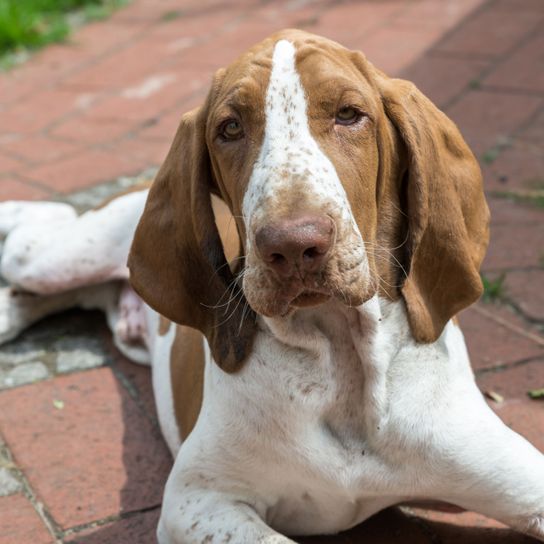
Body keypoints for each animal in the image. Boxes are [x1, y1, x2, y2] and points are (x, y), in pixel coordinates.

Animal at [1, 30, 544, 544]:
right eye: (230, 128)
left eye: (350, 114)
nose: (294, 245)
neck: (342, 362)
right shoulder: (197, 500)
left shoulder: (521, 480)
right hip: (56, 258)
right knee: (26, 243)